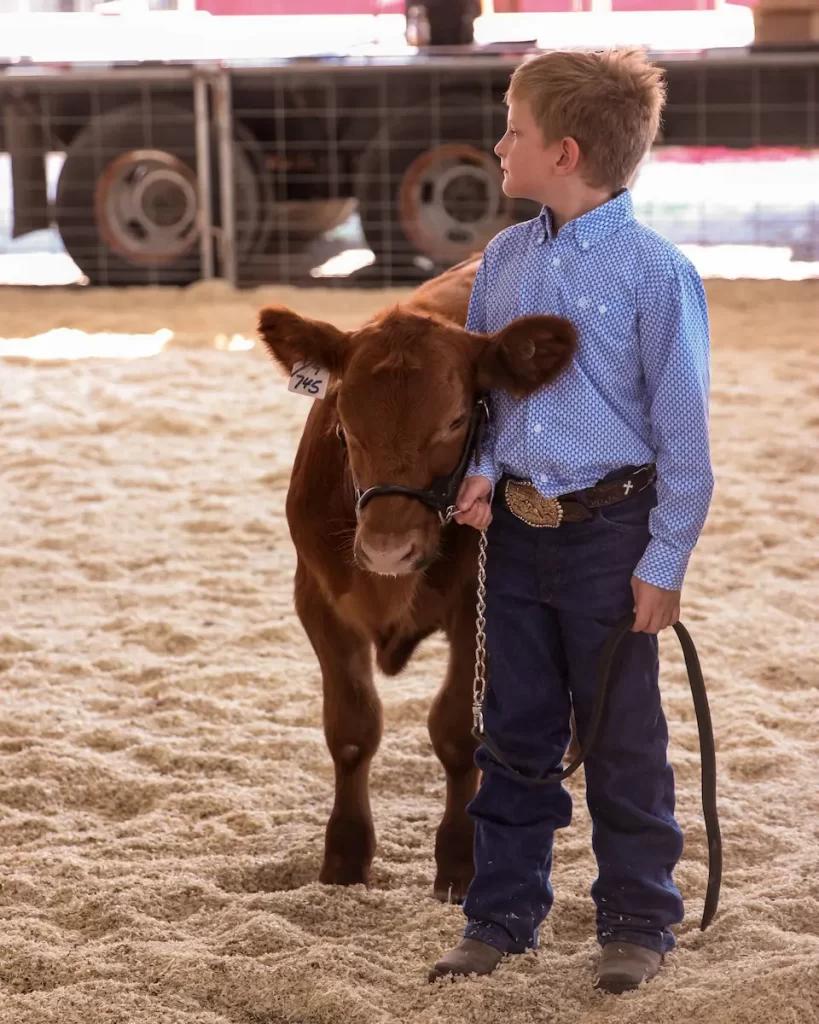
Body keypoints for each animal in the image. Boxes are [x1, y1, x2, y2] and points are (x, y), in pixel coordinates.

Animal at [257, 258, 577, 905]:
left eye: (455, 419)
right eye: (344, 422)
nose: (387, 547)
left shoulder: (480, 609)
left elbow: (456, 733)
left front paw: (460, 863)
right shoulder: (319, 601)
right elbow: (351, 729)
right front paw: (344, 861)